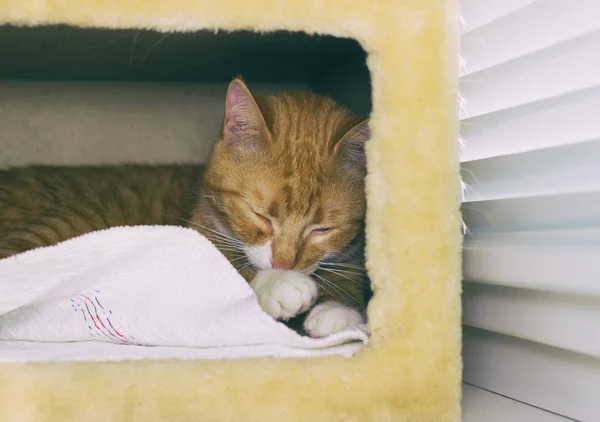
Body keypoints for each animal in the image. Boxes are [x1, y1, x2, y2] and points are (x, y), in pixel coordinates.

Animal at [0, 78, 370, 336]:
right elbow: (230, 273)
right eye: (259, 215)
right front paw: (280, 283)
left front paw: (339, 309)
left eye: (322, 229)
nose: (284, 264)